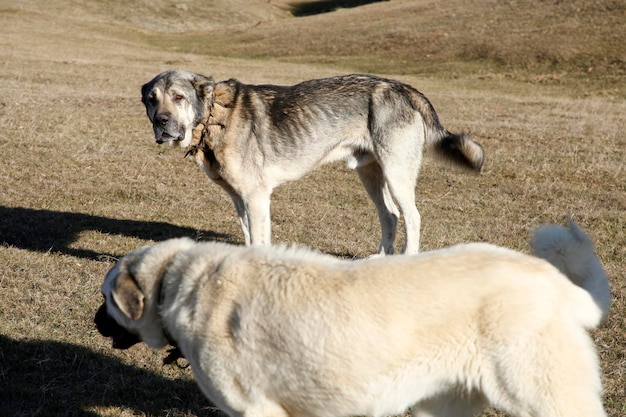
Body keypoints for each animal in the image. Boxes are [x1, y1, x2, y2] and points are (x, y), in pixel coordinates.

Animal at [95, 218, 608, 416]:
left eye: (107, 298)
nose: (95, 322)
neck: (178, 283)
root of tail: (556, 283)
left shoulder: (258, 409)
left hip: (545, 396)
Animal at [140, 70, 482, 254]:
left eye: (179, 97)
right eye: (152, 99)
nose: (161, 123)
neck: (214, 117)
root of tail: (401, 87)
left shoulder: (256, 198)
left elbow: (259, 242)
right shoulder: (239, 199)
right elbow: (249, 239)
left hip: (397, 174)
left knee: (412, 217)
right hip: (371, 174)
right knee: (390, 216)